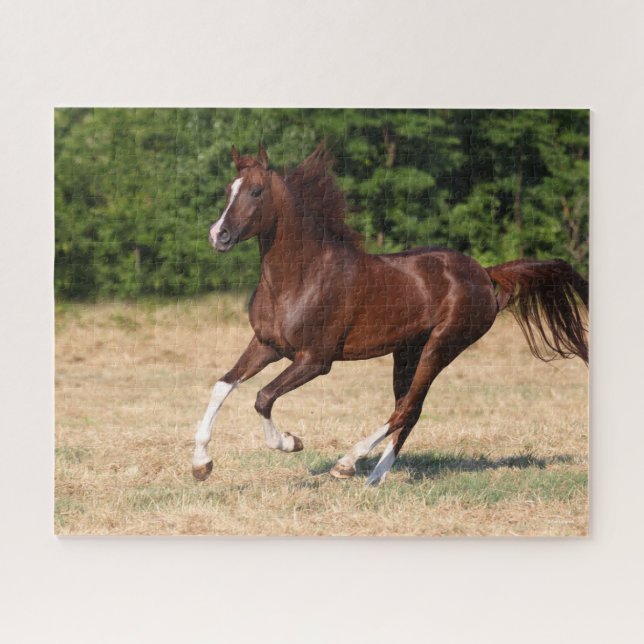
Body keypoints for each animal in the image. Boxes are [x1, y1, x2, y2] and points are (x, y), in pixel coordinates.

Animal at [192, 143, 588, 485]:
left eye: (256, 191)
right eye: (229, 189)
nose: (218, 235)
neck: (301, 276)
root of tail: (485, 274)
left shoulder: (315, 360)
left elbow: (263, 398)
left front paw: (291, 442)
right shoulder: (267, 345)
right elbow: (223, 385)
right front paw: (201, 465)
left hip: (441, 347)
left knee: (407, 408)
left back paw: (349, 464)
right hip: (407, 352)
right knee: (408, 410)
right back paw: (375, 477)